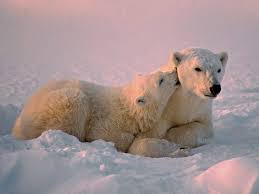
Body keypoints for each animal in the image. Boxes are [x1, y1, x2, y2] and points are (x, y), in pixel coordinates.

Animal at [12, 70, 179, 152]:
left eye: (161, 73)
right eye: (161, 80)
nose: (175, 72)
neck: (129, 110)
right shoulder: (108, 119)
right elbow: (105, 134)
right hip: (58, 104)